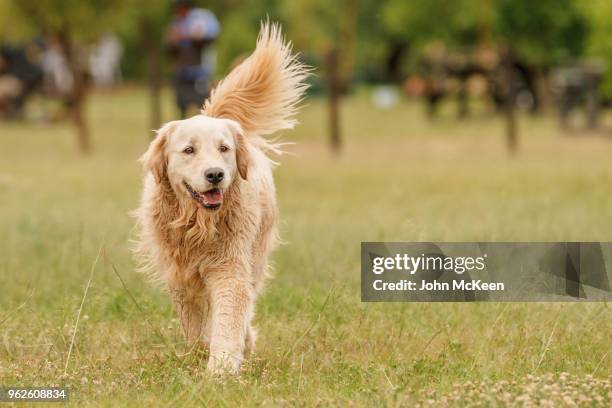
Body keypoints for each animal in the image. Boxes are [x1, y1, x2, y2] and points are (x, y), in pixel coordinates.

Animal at [132, 21, 308, 372]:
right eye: (189, 150)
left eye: (224, 148)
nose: (215, 174)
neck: (197, 223)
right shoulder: (180, 274)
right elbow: (196, 325)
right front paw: (206, 353)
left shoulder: (230, 266)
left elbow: (229, 317)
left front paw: (222, 367)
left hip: (256, 253)